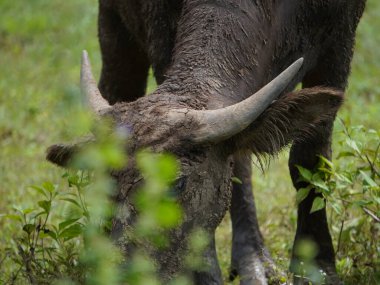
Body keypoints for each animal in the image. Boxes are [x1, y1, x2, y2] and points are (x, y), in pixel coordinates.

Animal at [46, 1, 366, 282]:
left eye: (177, 184)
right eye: (110, 180)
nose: (126, 273)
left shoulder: (340, 40)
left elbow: (310, 159)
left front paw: (317, 269)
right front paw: (205, 274)